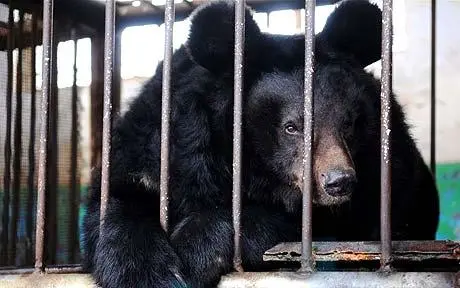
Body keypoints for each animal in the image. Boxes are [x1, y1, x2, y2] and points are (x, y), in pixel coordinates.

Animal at [82, 0, 438, 288]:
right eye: (291, 127)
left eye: (348, 123)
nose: (339, 182)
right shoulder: (162, 140)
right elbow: (122, 193)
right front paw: (146, 274)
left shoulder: (385, 167)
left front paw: (194, 253)